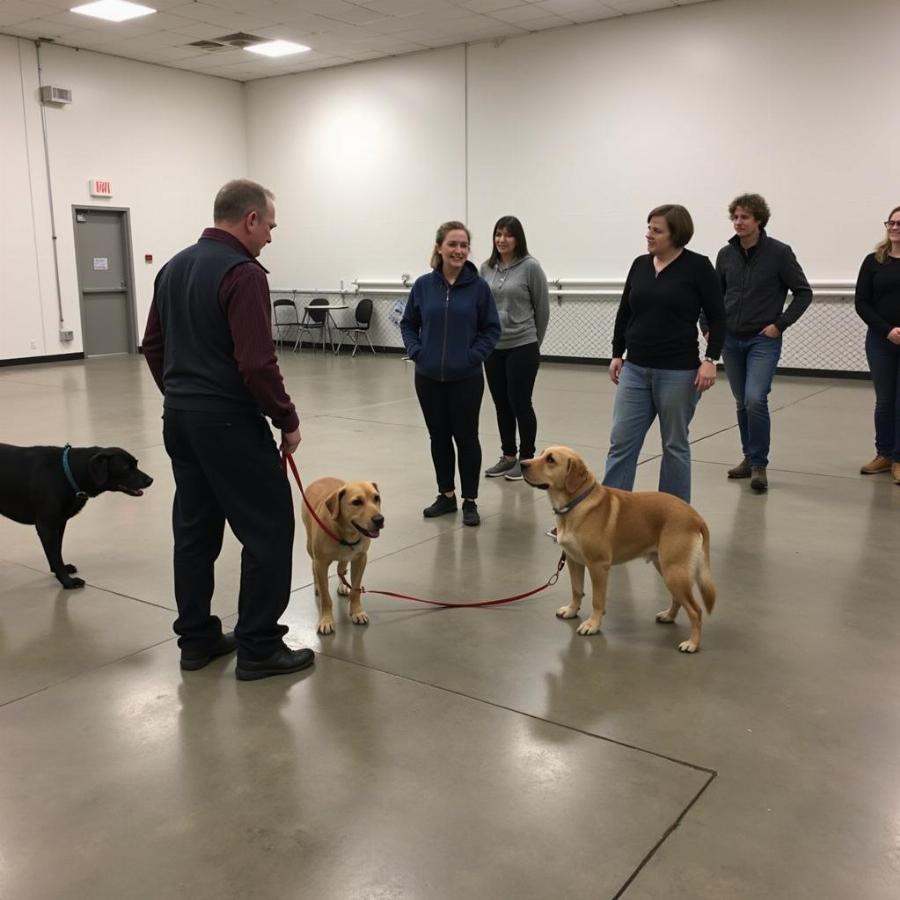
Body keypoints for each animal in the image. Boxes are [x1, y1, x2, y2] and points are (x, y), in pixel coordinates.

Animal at [0, 444, 153, 592]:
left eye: (136, 464)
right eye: (126, 468)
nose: (150, 480)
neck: (66, 472)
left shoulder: (59, 523)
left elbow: (57, 550)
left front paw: (61, 570)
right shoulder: (47, 526)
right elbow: (55, 555)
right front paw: (67, 582)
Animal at [298, 478, 384, 632]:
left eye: (376, 498)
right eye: (356, 502)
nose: (379, 519)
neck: (345, 533)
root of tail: (321, 478)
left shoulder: (360, 559)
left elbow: (356, 590)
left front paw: (357, 611)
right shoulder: (321, 563)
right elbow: (325, 597)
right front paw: (326, 620)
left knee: (341, 568)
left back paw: (343, 584)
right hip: (310, 547)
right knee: (314, 568)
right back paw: (317, 585)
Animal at [520, 446, 716, 652]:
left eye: (550, 460)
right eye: (541, 454)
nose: (522, 464)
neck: (575, 504)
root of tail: (696, 517)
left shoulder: (598, 566)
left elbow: (597, 600)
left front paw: (593, 625)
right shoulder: (574, 561)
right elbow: (576, 590)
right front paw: (572, 610)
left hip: (674, 571)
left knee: (695, 610)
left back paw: (692, 643)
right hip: (666, 568)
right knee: (678, 599)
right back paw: (668, 616)